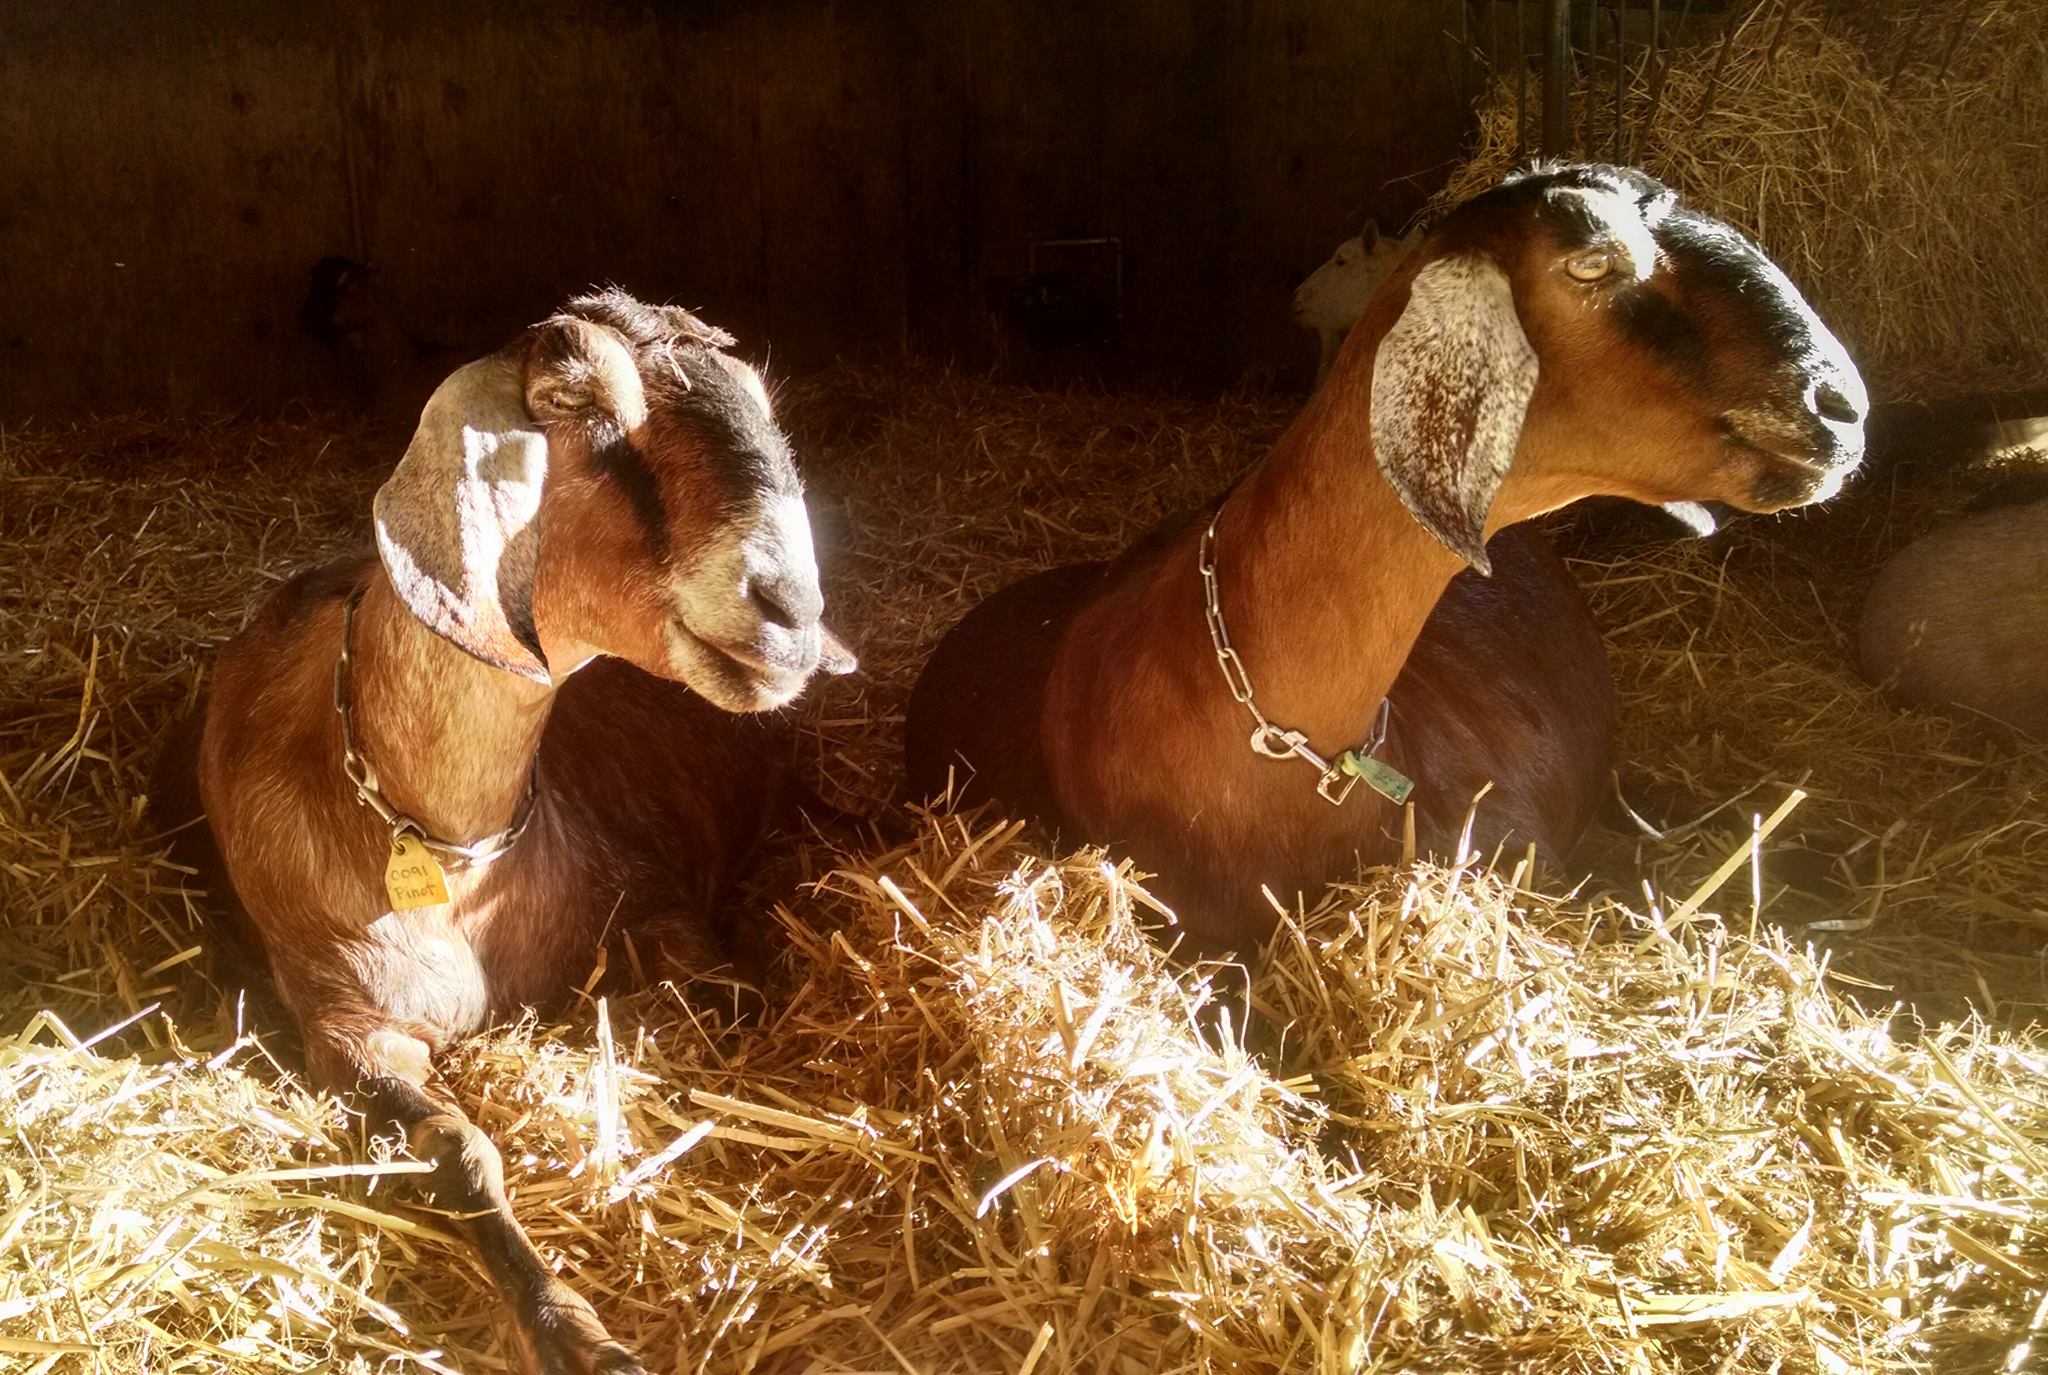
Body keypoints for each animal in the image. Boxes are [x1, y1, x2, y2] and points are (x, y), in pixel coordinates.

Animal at [153, 290, 847, 1375]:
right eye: (575, 400)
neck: (448, 850)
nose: (789, 610)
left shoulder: (650, 899)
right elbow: (459, 1153)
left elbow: (715, 995)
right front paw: (576, 1332)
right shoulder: (345, 1027)